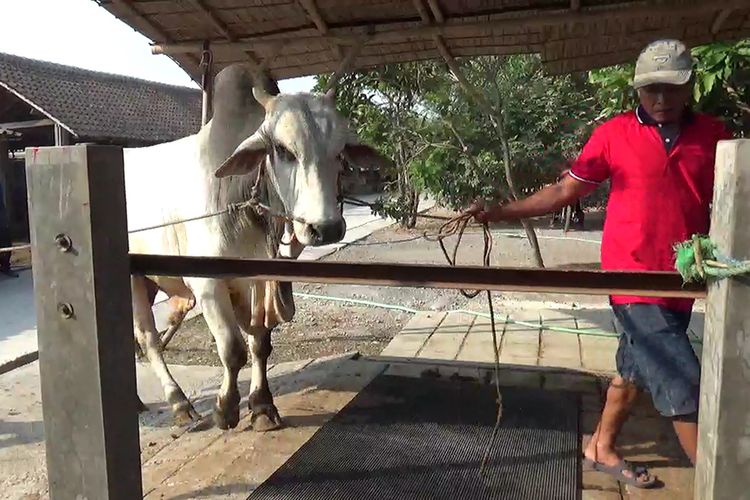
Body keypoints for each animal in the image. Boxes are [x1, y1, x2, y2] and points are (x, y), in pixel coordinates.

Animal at [124, 63, 390, 430]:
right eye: (282, 150)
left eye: (339, 153)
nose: (325, 228)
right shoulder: (207, 285)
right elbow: (233, 349)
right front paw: (225, 409)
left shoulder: (261, 282)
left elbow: (260, 345)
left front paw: (262, 406)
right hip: (134, 279)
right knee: (148, 338)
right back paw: (178, 403)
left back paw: (137, 401)